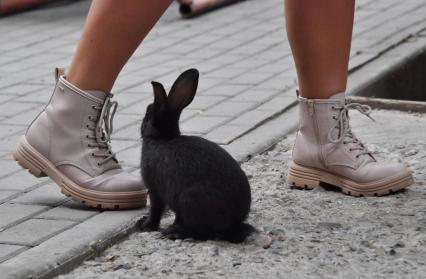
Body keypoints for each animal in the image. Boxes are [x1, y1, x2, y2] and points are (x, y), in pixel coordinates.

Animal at [139, 69, 253, 244]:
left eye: (147, 113)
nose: (141, 124)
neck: (162, 138)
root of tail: (232, 223)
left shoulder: (154, 189)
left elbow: (156, 209)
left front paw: (147, 225)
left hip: (188, 200)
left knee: (202, 231)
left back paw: (174, 233)